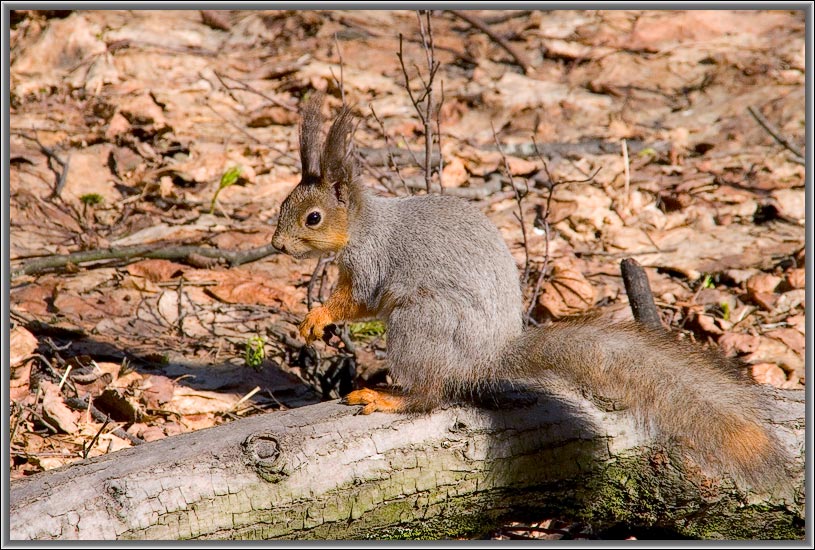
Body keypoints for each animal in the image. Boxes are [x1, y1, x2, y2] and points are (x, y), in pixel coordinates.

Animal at [272, 95, 792, 492]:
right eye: (283, 206)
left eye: (313, 218)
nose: (276, 245)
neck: (364, 225)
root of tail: (486, 360)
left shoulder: (372, 265)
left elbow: (359, 301)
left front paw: (318, 316)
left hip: (420, 324)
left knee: (431, 395)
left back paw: (389, 398)